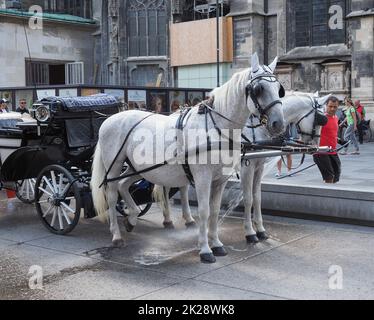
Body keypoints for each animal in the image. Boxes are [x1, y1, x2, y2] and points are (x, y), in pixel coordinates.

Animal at [92, 53, 284, 262]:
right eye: (259, 89)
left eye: (278, 89)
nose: (278, 123)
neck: (218, 127)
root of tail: (110, 118)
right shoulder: (204, 177)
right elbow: (205, 210)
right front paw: (206, 249)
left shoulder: (222, 179)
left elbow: (216, 210)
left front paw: (216, 243)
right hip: (114, 165)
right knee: (112, 194)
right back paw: (116, 235)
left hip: (138, 167)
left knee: (123, 184)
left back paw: (133, 217)